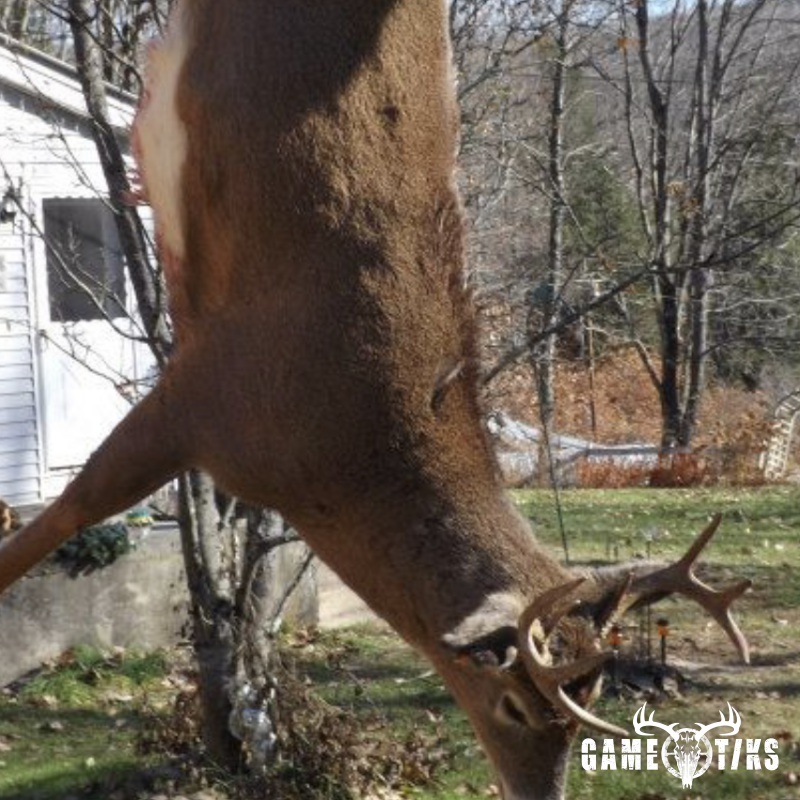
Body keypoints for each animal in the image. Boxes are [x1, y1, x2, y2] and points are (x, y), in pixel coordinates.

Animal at [0, 2, 752, 798]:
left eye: (589, 707)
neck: (339, 466)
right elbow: (70, 511)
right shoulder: (206, 394)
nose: (539, 792)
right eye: (514, 703)